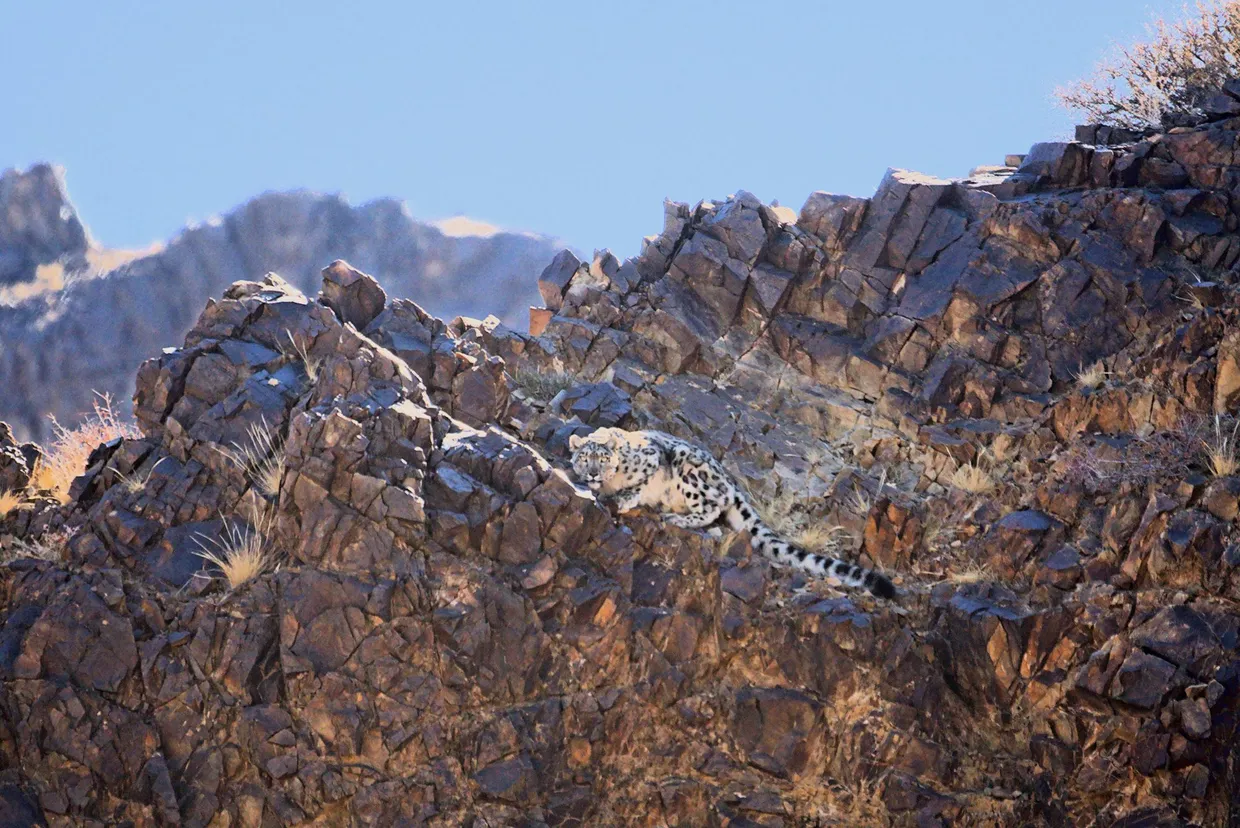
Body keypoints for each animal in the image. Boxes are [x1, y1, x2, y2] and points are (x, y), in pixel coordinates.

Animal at [569, 427, 896, 599]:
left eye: (603, 458)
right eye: (584, 458)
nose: (595, 473)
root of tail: (729, 478)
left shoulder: (652, 457)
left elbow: (642, 480)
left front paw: (626, 495)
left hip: (692, 473)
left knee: (713, 505)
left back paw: (676, 516)